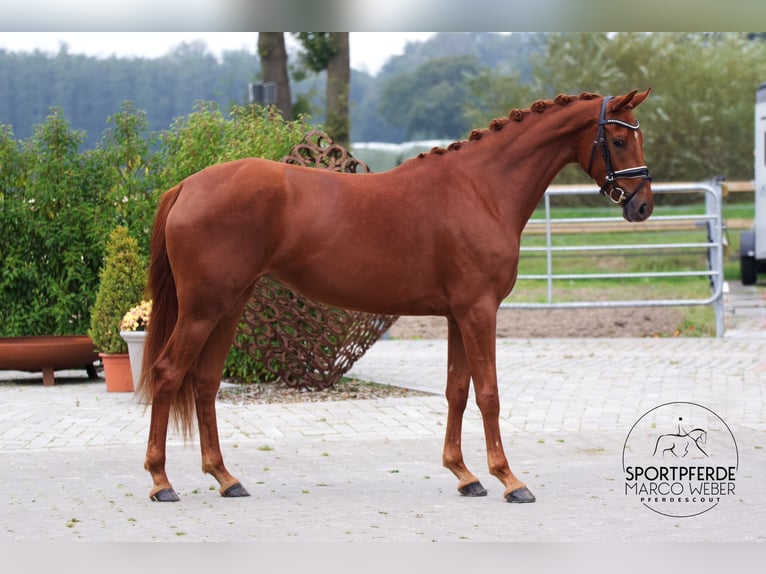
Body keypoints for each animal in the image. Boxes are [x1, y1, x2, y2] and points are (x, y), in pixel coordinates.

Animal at [138, 89, 656, 504]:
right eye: (617, 140)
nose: (643, 205)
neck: (481, 189)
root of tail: (188, 185)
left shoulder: (457, 315)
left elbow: (456, 391)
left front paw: (465, 475)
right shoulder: (479, 311)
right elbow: (488, 394)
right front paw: (509, 480)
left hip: (229, 306)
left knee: (205, 383)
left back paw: (226, 478)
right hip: (203, 309)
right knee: (167, 374)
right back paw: (161, 482)